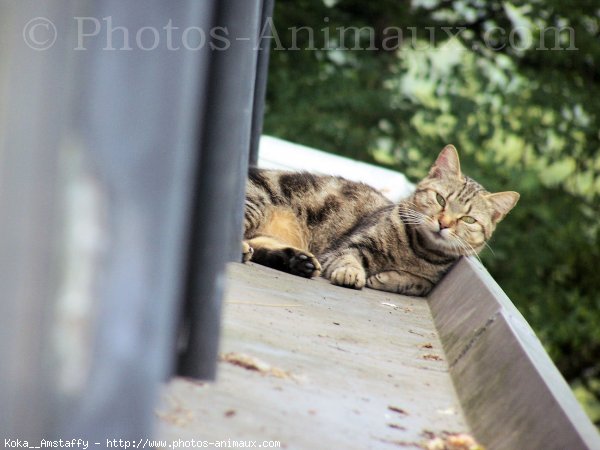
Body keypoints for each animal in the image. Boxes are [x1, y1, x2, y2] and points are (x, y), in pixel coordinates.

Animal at [241, 146, 516, 298]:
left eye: (468, 219)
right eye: (440, 199)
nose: (444, 223)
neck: (415, 252)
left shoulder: (430, 278)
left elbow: (420, 284)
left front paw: (388, 279)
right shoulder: (347, 246)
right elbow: (348, 258)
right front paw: (352, 273)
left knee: (258, 246)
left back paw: (297, 261)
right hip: (257, 203)